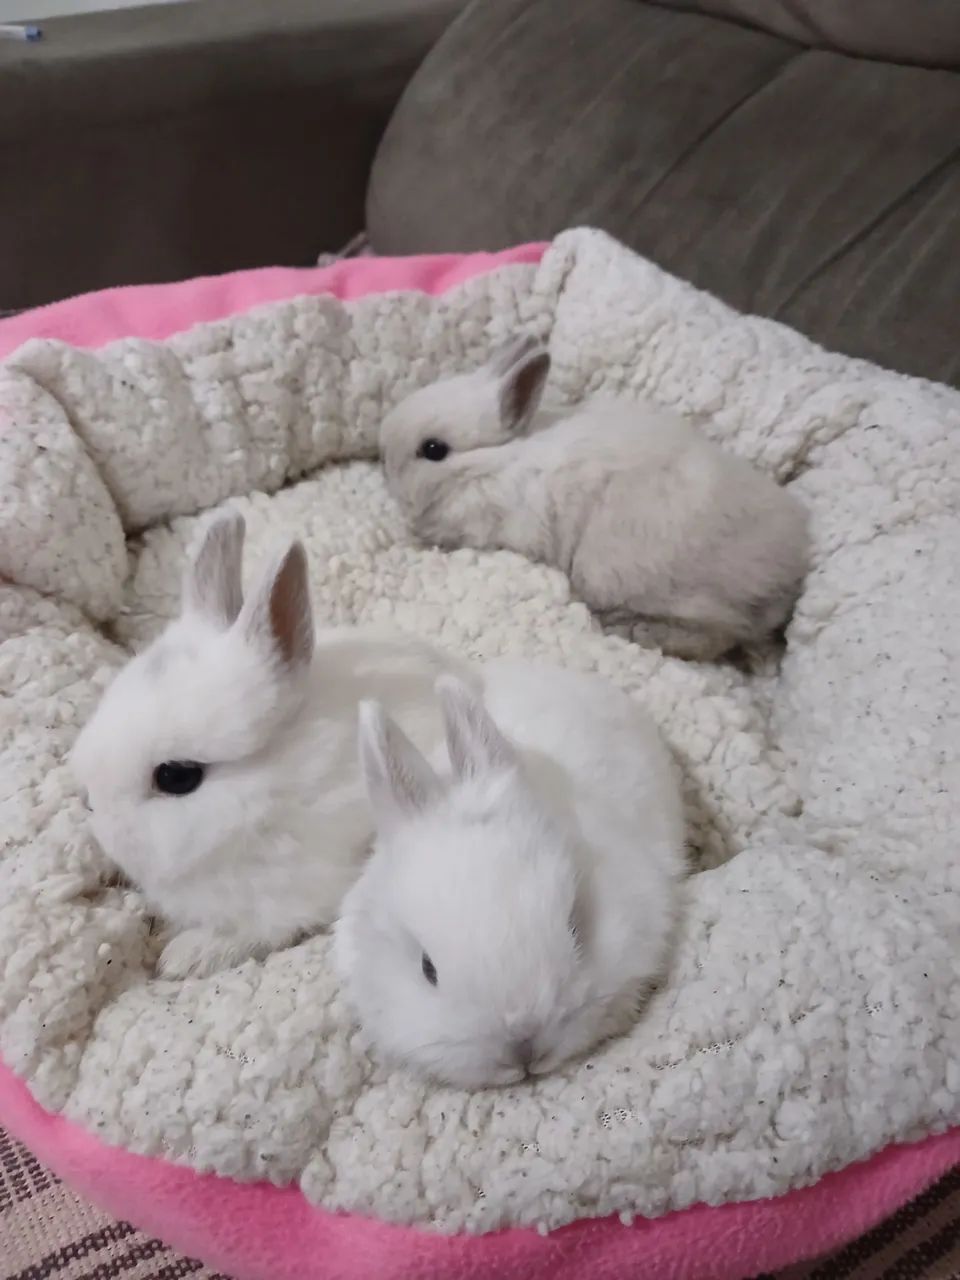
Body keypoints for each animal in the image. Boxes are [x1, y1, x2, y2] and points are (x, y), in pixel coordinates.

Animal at [380, 335, 810, 663]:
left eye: (433, 449)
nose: (384, 462)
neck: (494, 460)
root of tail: (786, 580)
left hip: (628, 576)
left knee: (718, 634)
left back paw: (629, 629)